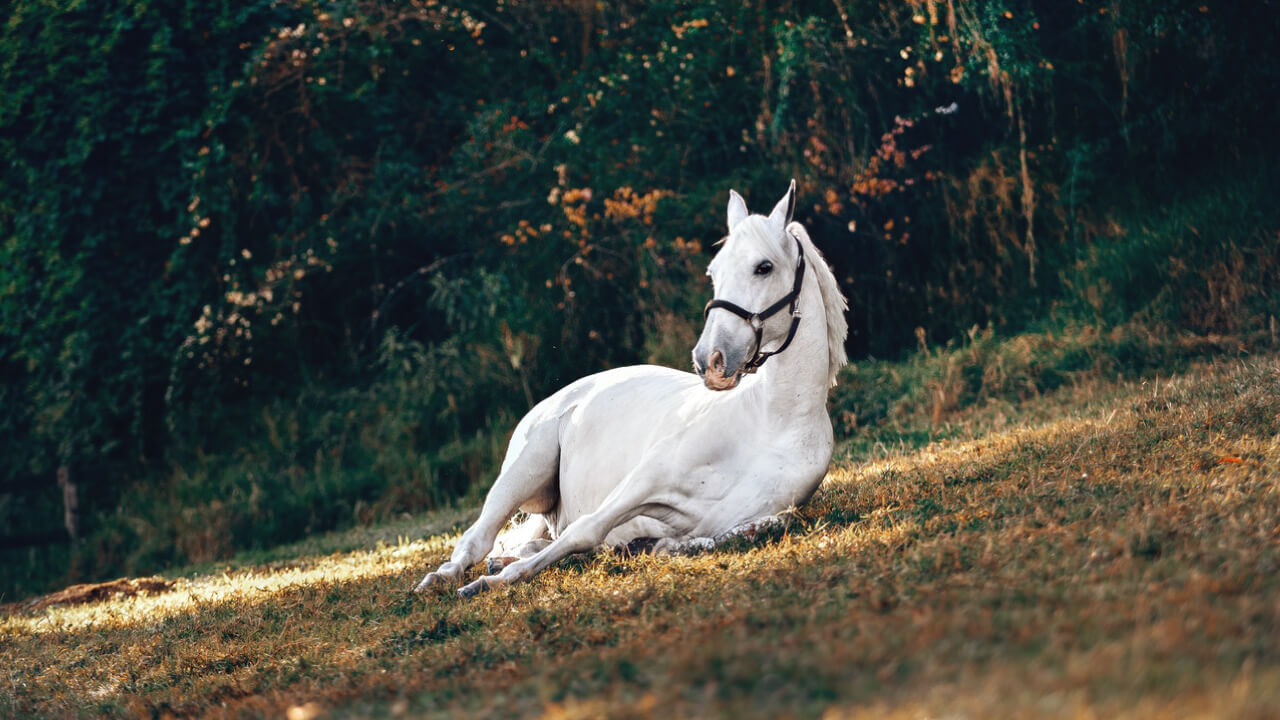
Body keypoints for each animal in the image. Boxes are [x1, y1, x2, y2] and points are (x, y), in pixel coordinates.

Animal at [414, 179, 844, 594]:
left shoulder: (745, 517)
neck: (773, 422)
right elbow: (584, 530)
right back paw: (446, 577)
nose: (710, 360)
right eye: (714, 272)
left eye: (764, 267)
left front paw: (651, 548)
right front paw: (493, 583)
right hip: (522, 472)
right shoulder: (643, 481)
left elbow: (746, 530)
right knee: (478, 538)